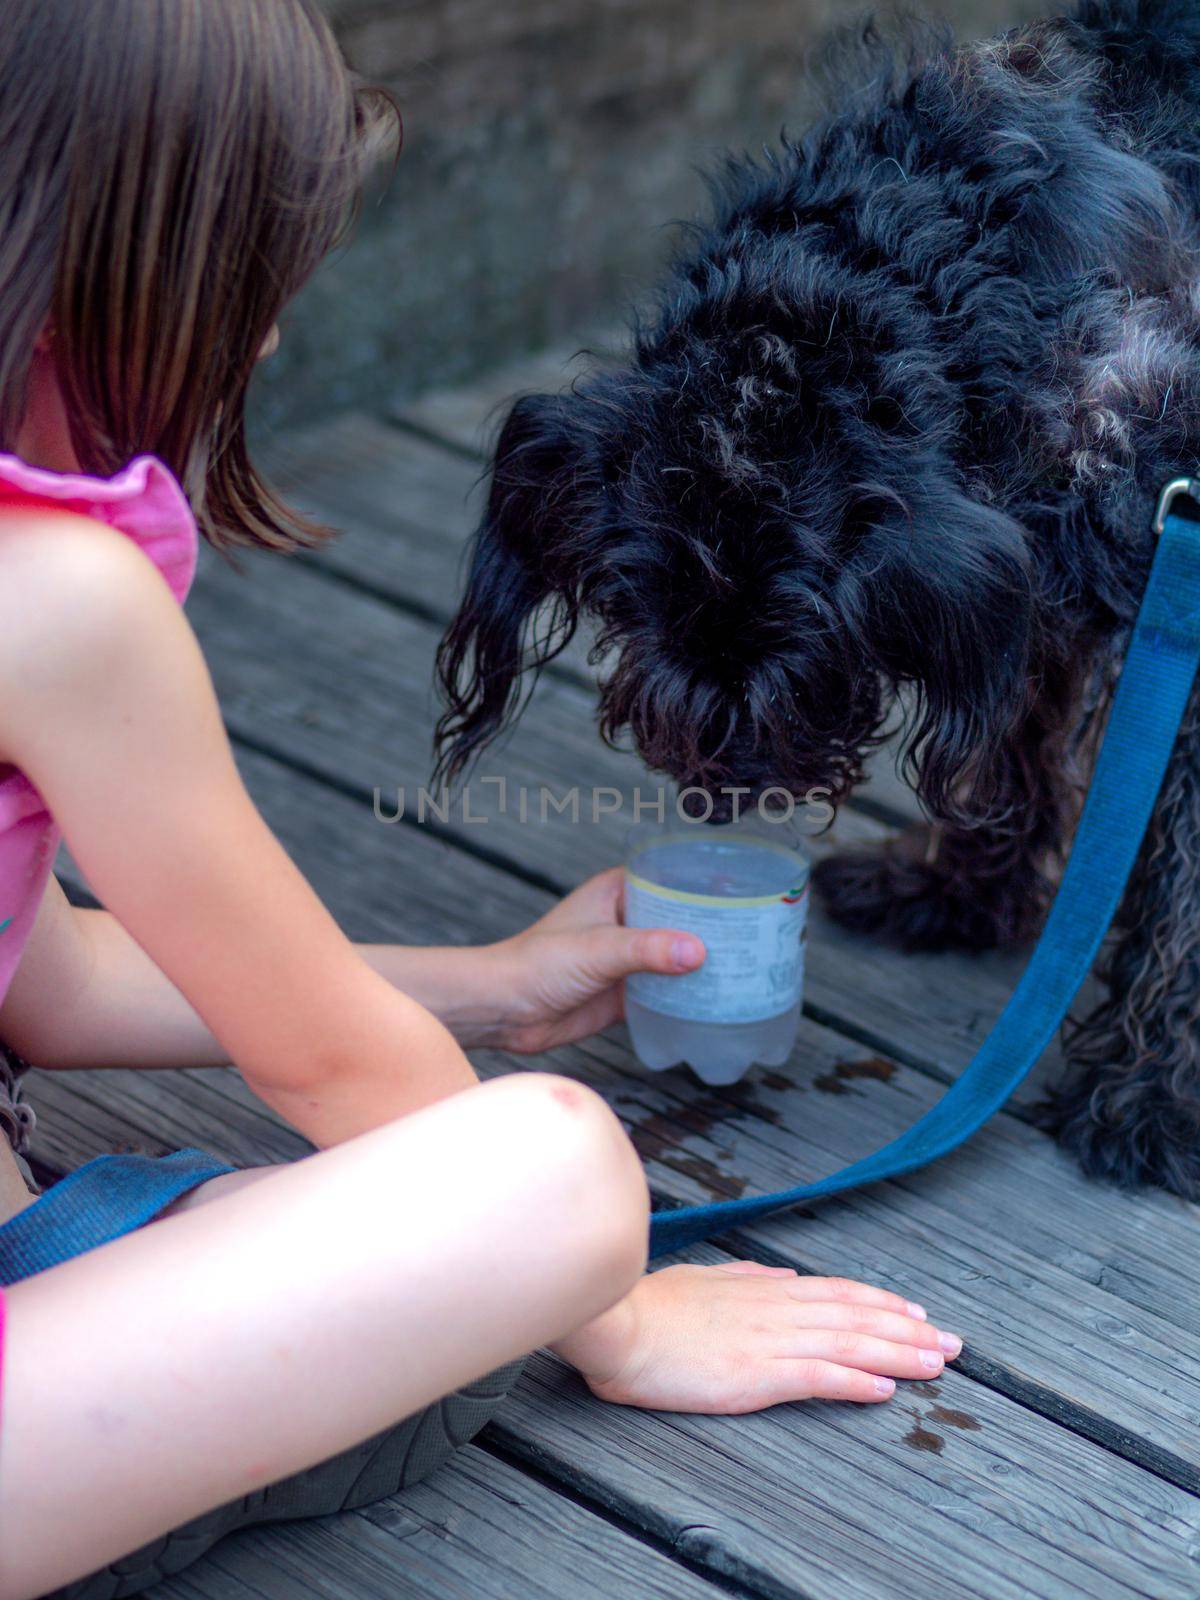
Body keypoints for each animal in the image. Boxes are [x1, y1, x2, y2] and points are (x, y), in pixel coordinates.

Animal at [438, 3, 1200, 1203]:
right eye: (636, 605)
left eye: (806, 651)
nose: (713, 784)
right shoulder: (1040, 561)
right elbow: (1017, 743)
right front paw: (966, 893)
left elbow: (1180, 887)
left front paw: (1146, 1093)